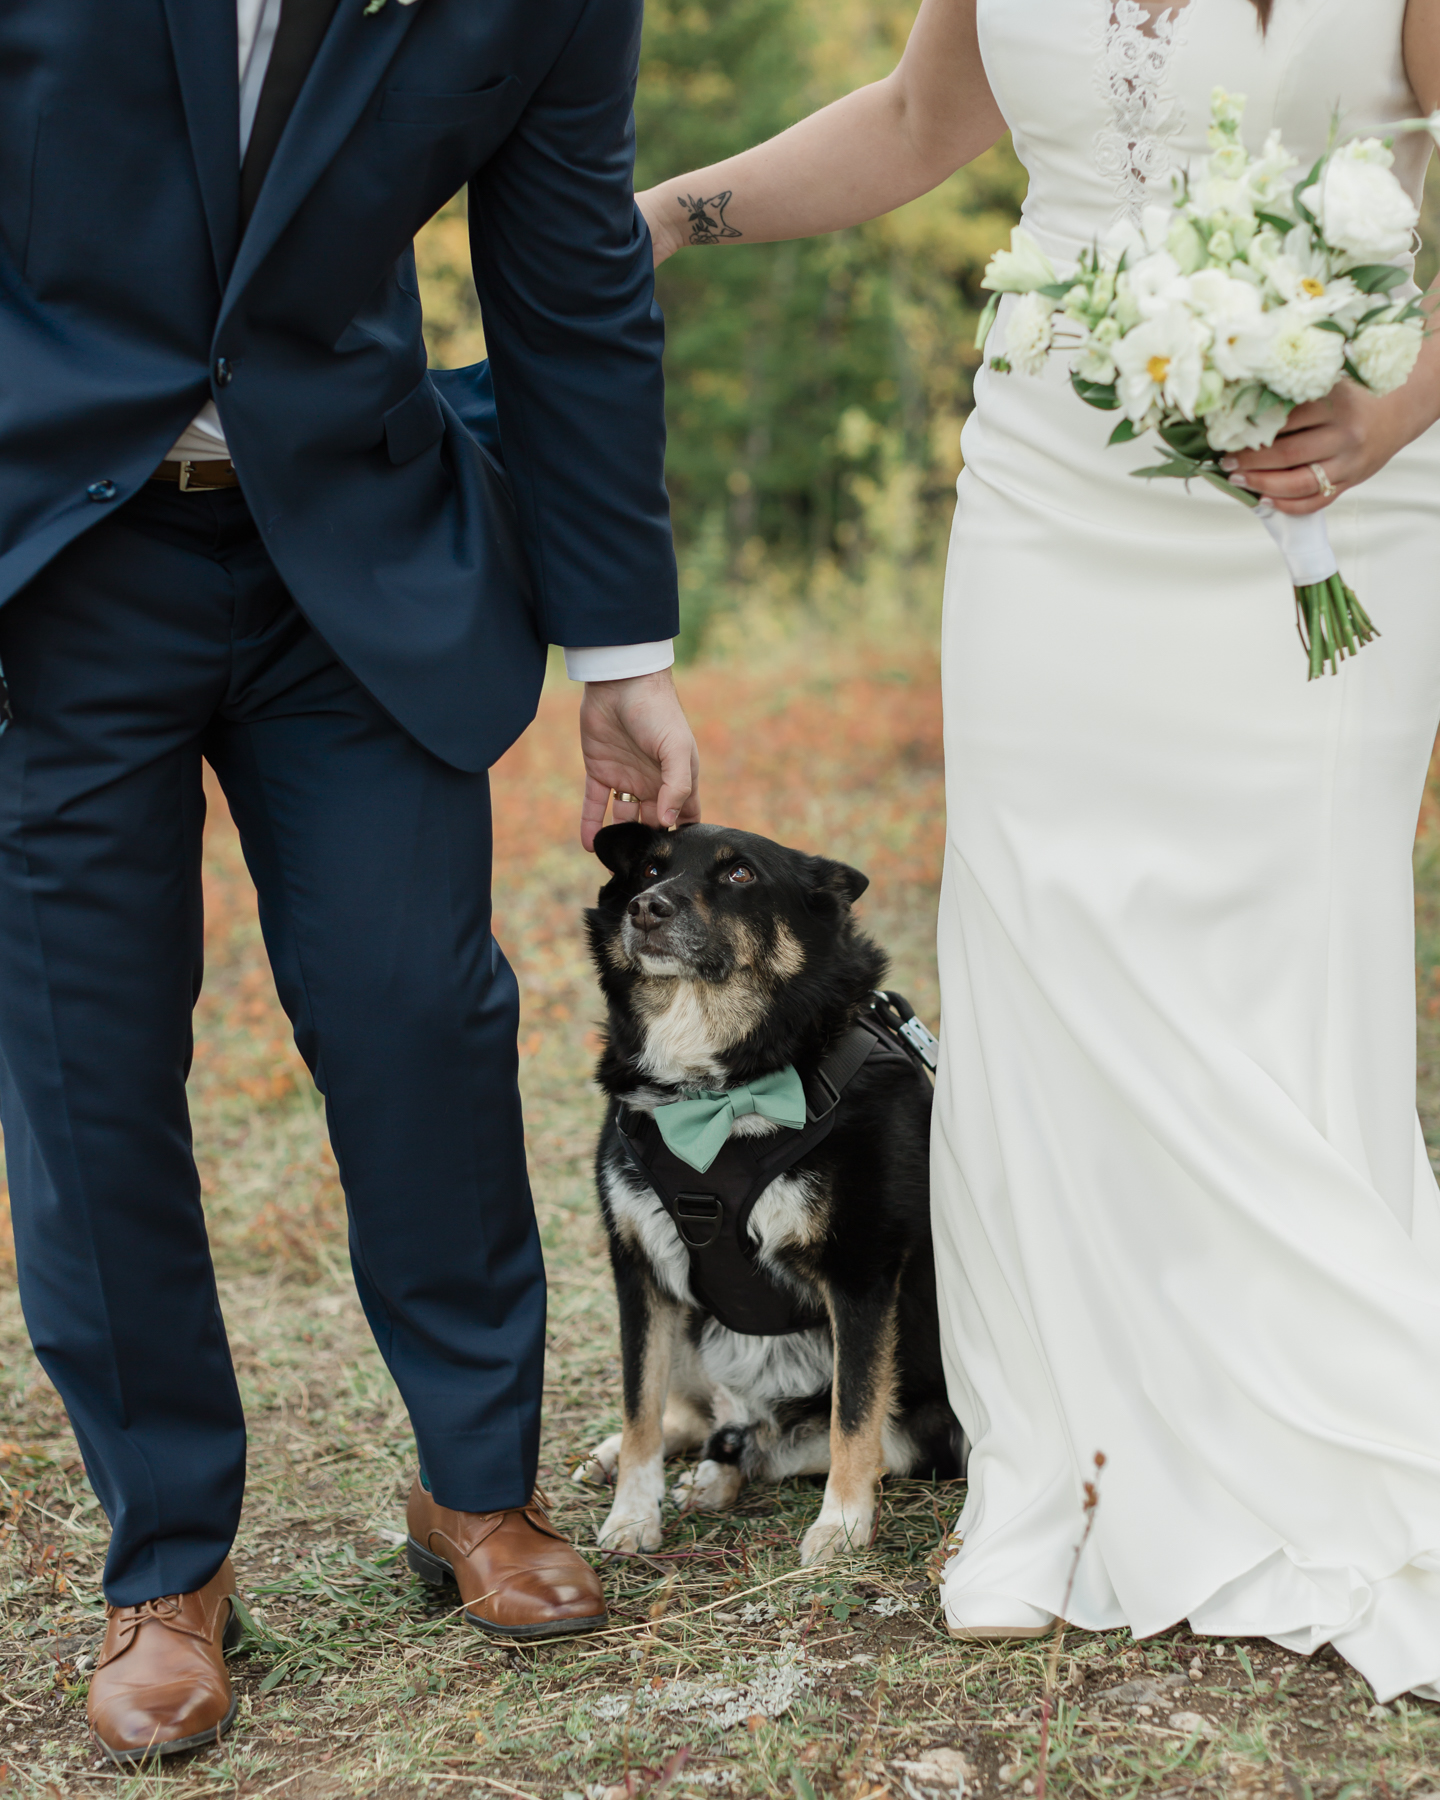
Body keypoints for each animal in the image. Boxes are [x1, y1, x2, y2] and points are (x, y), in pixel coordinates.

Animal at [576, 824, 964, 1569]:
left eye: (740, 875)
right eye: (649, 869)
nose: (646, 908)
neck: (718, 1096)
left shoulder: (861, 1274)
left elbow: (854, 1416)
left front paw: (841, 1526)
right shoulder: (640, 1270)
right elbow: (640, 1408)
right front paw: (632, 1516)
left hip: (935, 1425)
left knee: (804, 1439)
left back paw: (728, 1466)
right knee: (688, 1409)